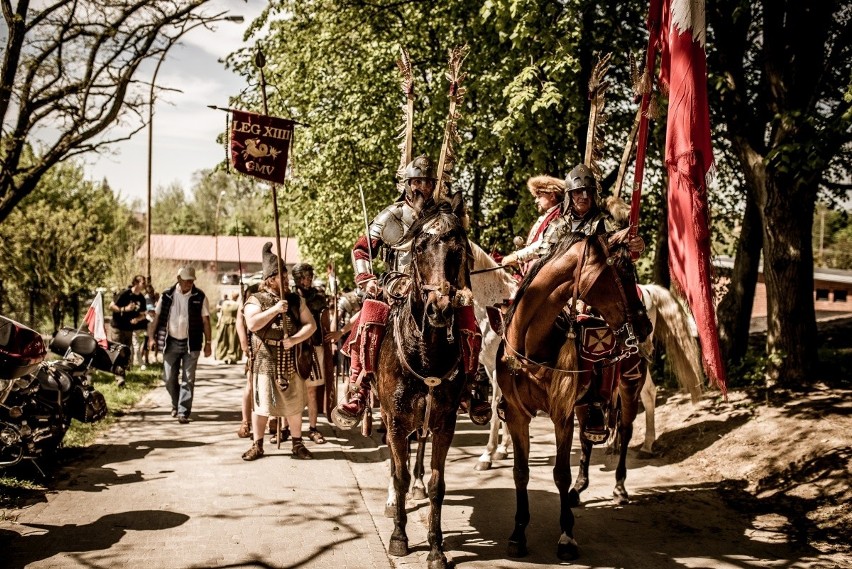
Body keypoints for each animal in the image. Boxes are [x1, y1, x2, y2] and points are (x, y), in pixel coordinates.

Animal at [376, 195, 472, 568]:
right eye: (419, 247)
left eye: (458, 248)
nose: (440, 309)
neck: (427, 353)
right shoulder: (396, 420)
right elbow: (399, 476)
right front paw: (399, 538)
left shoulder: (445, 422)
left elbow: (436, 484)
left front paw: (436, 548)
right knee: (395, 466)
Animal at [492, 231, 652, 560]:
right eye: (623, 272)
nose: (645, 326)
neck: (530, 345)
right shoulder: (516, 415)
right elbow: (520, 472)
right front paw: (518, 533)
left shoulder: (561, 415)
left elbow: (560, 473)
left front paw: (566, 536)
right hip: (586, 404)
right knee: (587, 440)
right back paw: (579, 489)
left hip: (630, 388)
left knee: (626, 433)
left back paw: (619, 488)